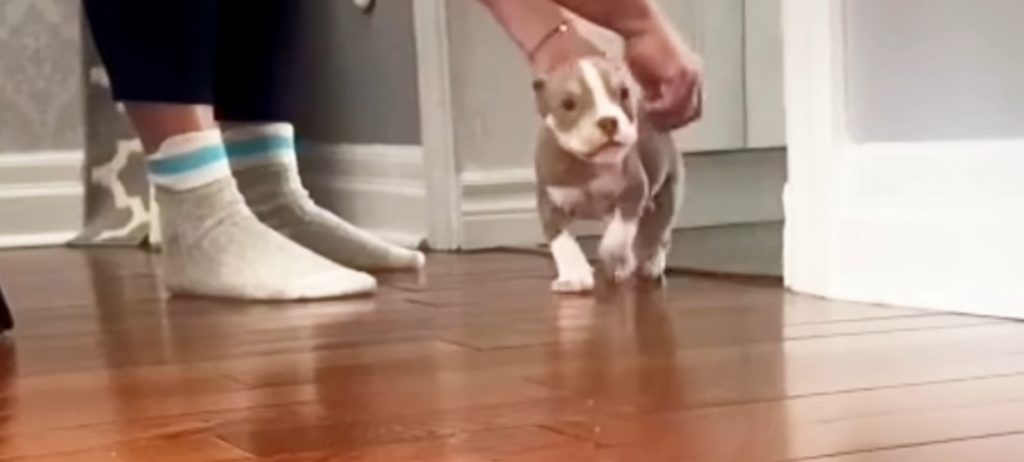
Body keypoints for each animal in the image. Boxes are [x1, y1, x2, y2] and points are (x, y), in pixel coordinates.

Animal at [532, 56, 684, 292]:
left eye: (623, 93)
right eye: (568, 104)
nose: (608, 121)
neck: (588, 163)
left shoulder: (633, 192)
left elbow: (618, 236)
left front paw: (615, 257)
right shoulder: (551, 204)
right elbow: (562, 241)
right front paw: (575, 276)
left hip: (667, 196)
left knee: (659, 235)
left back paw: (651, 264)